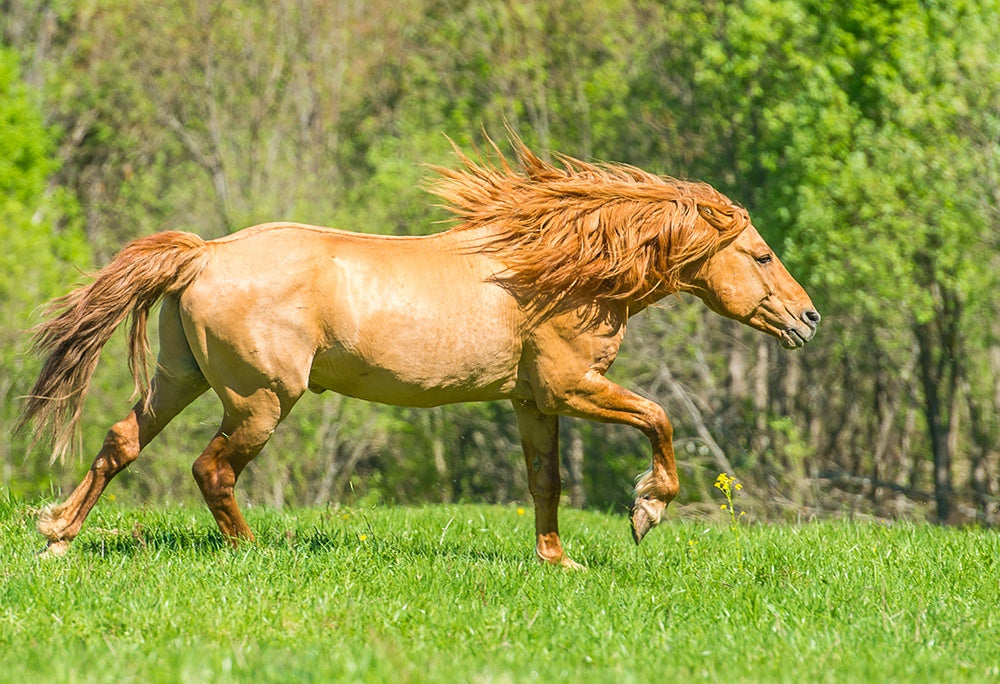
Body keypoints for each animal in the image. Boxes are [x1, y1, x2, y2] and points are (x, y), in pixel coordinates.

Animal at [19, 139, 816, 568]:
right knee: (210, 469)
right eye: (761, 255)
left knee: (121, 442)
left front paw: (557, 561)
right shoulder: (571, 385)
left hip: (179, 379)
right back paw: (253, 550)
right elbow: (659, 419)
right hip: (260, 400)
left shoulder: (532, 401)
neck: (555, 272)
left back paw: (58, 537)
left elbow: (547, 482)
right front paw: (646, 511)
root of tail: (204, 254)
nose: (808, 319)